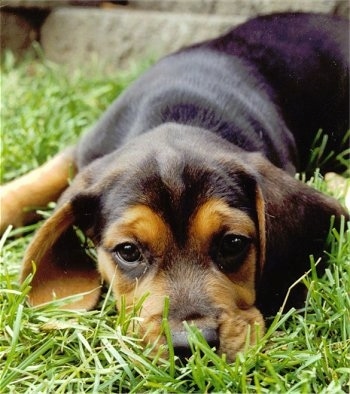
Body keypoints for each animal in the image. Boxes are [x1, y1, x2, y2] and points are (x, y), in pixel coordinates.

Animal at [1, 12, 348, 360]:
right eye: (128, 251)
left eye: (233, 243)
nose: (192, 344)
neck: (180, 112)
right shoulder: (84, 150)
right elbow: (33, 183)